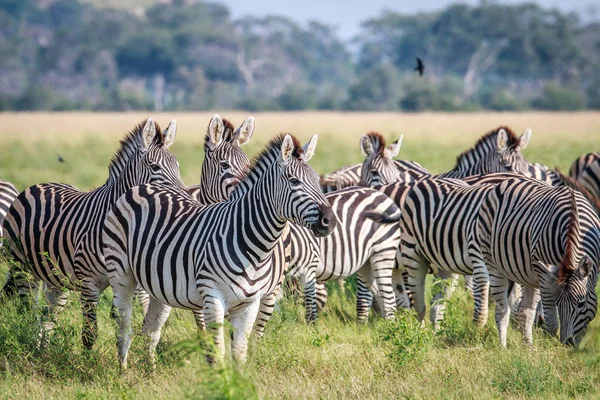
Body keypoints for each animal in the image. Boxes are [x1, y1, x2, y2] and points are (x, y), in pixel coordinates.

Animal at [2, 118, 183, 346]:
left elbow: (133, 321)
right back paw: (30, 347)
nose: (183, 195)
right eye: (155, 166)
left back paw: (43, 351)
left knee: (48, 318)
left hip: (57, 280)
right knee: (29, 312)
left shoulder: (130, 281)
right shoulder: (89, 283)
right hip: (22, 269)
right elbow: (89, 334)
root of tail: (37, 185)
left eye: (177, 166)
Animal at [103, 133, 338, 368]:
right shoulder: (213, 297)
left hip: (159, 287)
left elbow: (240, 352)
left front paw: (239, 378)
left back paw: (150, 371)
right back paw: (123, 371)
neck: (256, 249)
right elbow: (218, 354)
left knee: (151, 330)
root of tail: (141, 187)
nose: (330, 221)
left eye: (317, 180)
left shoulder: (249, 304)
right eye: (294, 181)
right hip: (121, 275)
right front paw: (220, 378)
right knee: (124, 328)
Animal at [478, 178, 600, 346]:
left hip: (528, 276)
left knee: (525, 312)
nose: (567, 342)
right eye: (558, 303)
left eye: (581, 303)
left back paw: (528, 346)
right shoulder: (546, 277)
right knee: (502, 310)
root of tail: (506, 181)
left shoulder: (593, 276)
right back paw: (502, 347)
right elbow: (552, 323)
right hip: (494, 265)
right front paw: (548, 346)